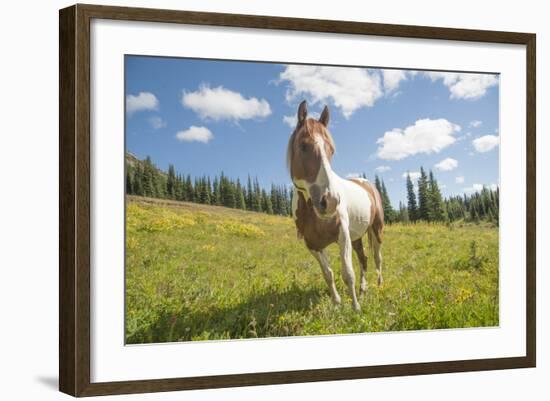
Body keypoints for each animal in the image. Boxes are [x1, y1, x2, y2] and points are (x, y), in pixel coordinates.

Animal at [286, 101, 386, 312]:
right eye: (303, 146)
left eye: (331, 150)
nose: (330, 201)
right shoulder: (313, 244)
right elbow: (328, 274)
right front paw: (337, 302)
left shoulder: (343, 236)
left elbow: (348, 273)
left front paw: (356, 309)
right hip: (357, 237)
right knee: (364, 259)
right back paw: (363, 290)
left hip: (376, 229)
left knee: (377, 257)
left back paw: (379, 285)